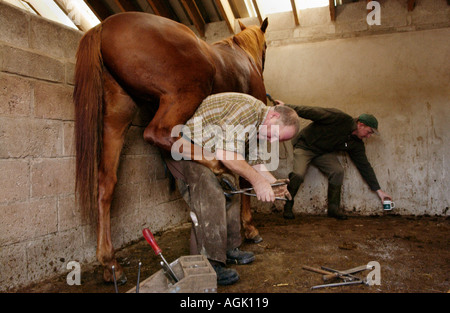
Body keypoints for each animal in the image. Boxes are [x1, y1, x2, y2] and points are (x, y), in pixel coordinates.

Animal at [74, 12, 268, 282]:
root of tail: (102, 27)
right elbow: (248, 178)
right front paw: (250, 228)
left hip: (117, 117)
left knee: (106, 183)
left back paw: (110, 263)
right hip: (184, 93)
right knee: (158, 133)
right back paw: (217, 167)